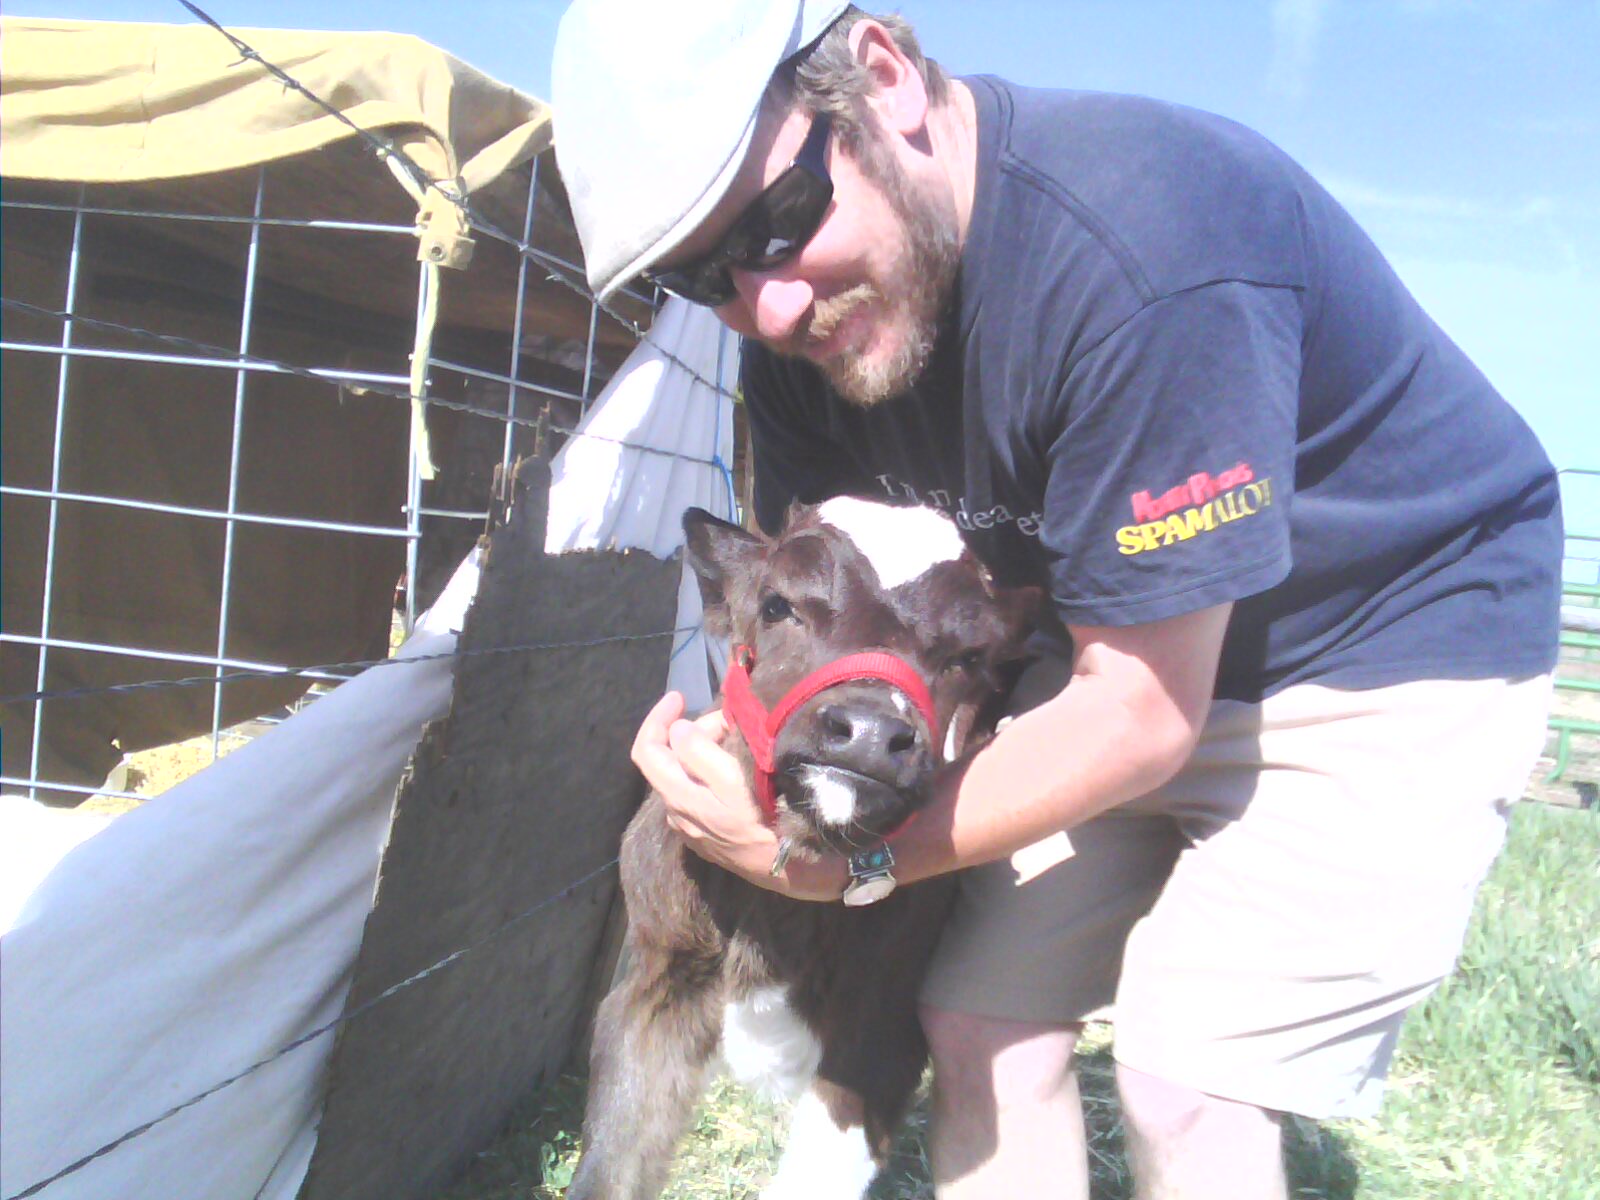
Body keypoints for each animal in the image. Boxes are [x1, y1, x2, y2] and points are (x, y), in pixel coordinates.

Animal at [569, 496, 1037, 1200]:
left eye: (969, 656)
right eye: (776, 606)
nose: (868, 732)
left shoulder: (882, 1027)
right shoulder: (653, 982)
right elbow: (608, 1164)